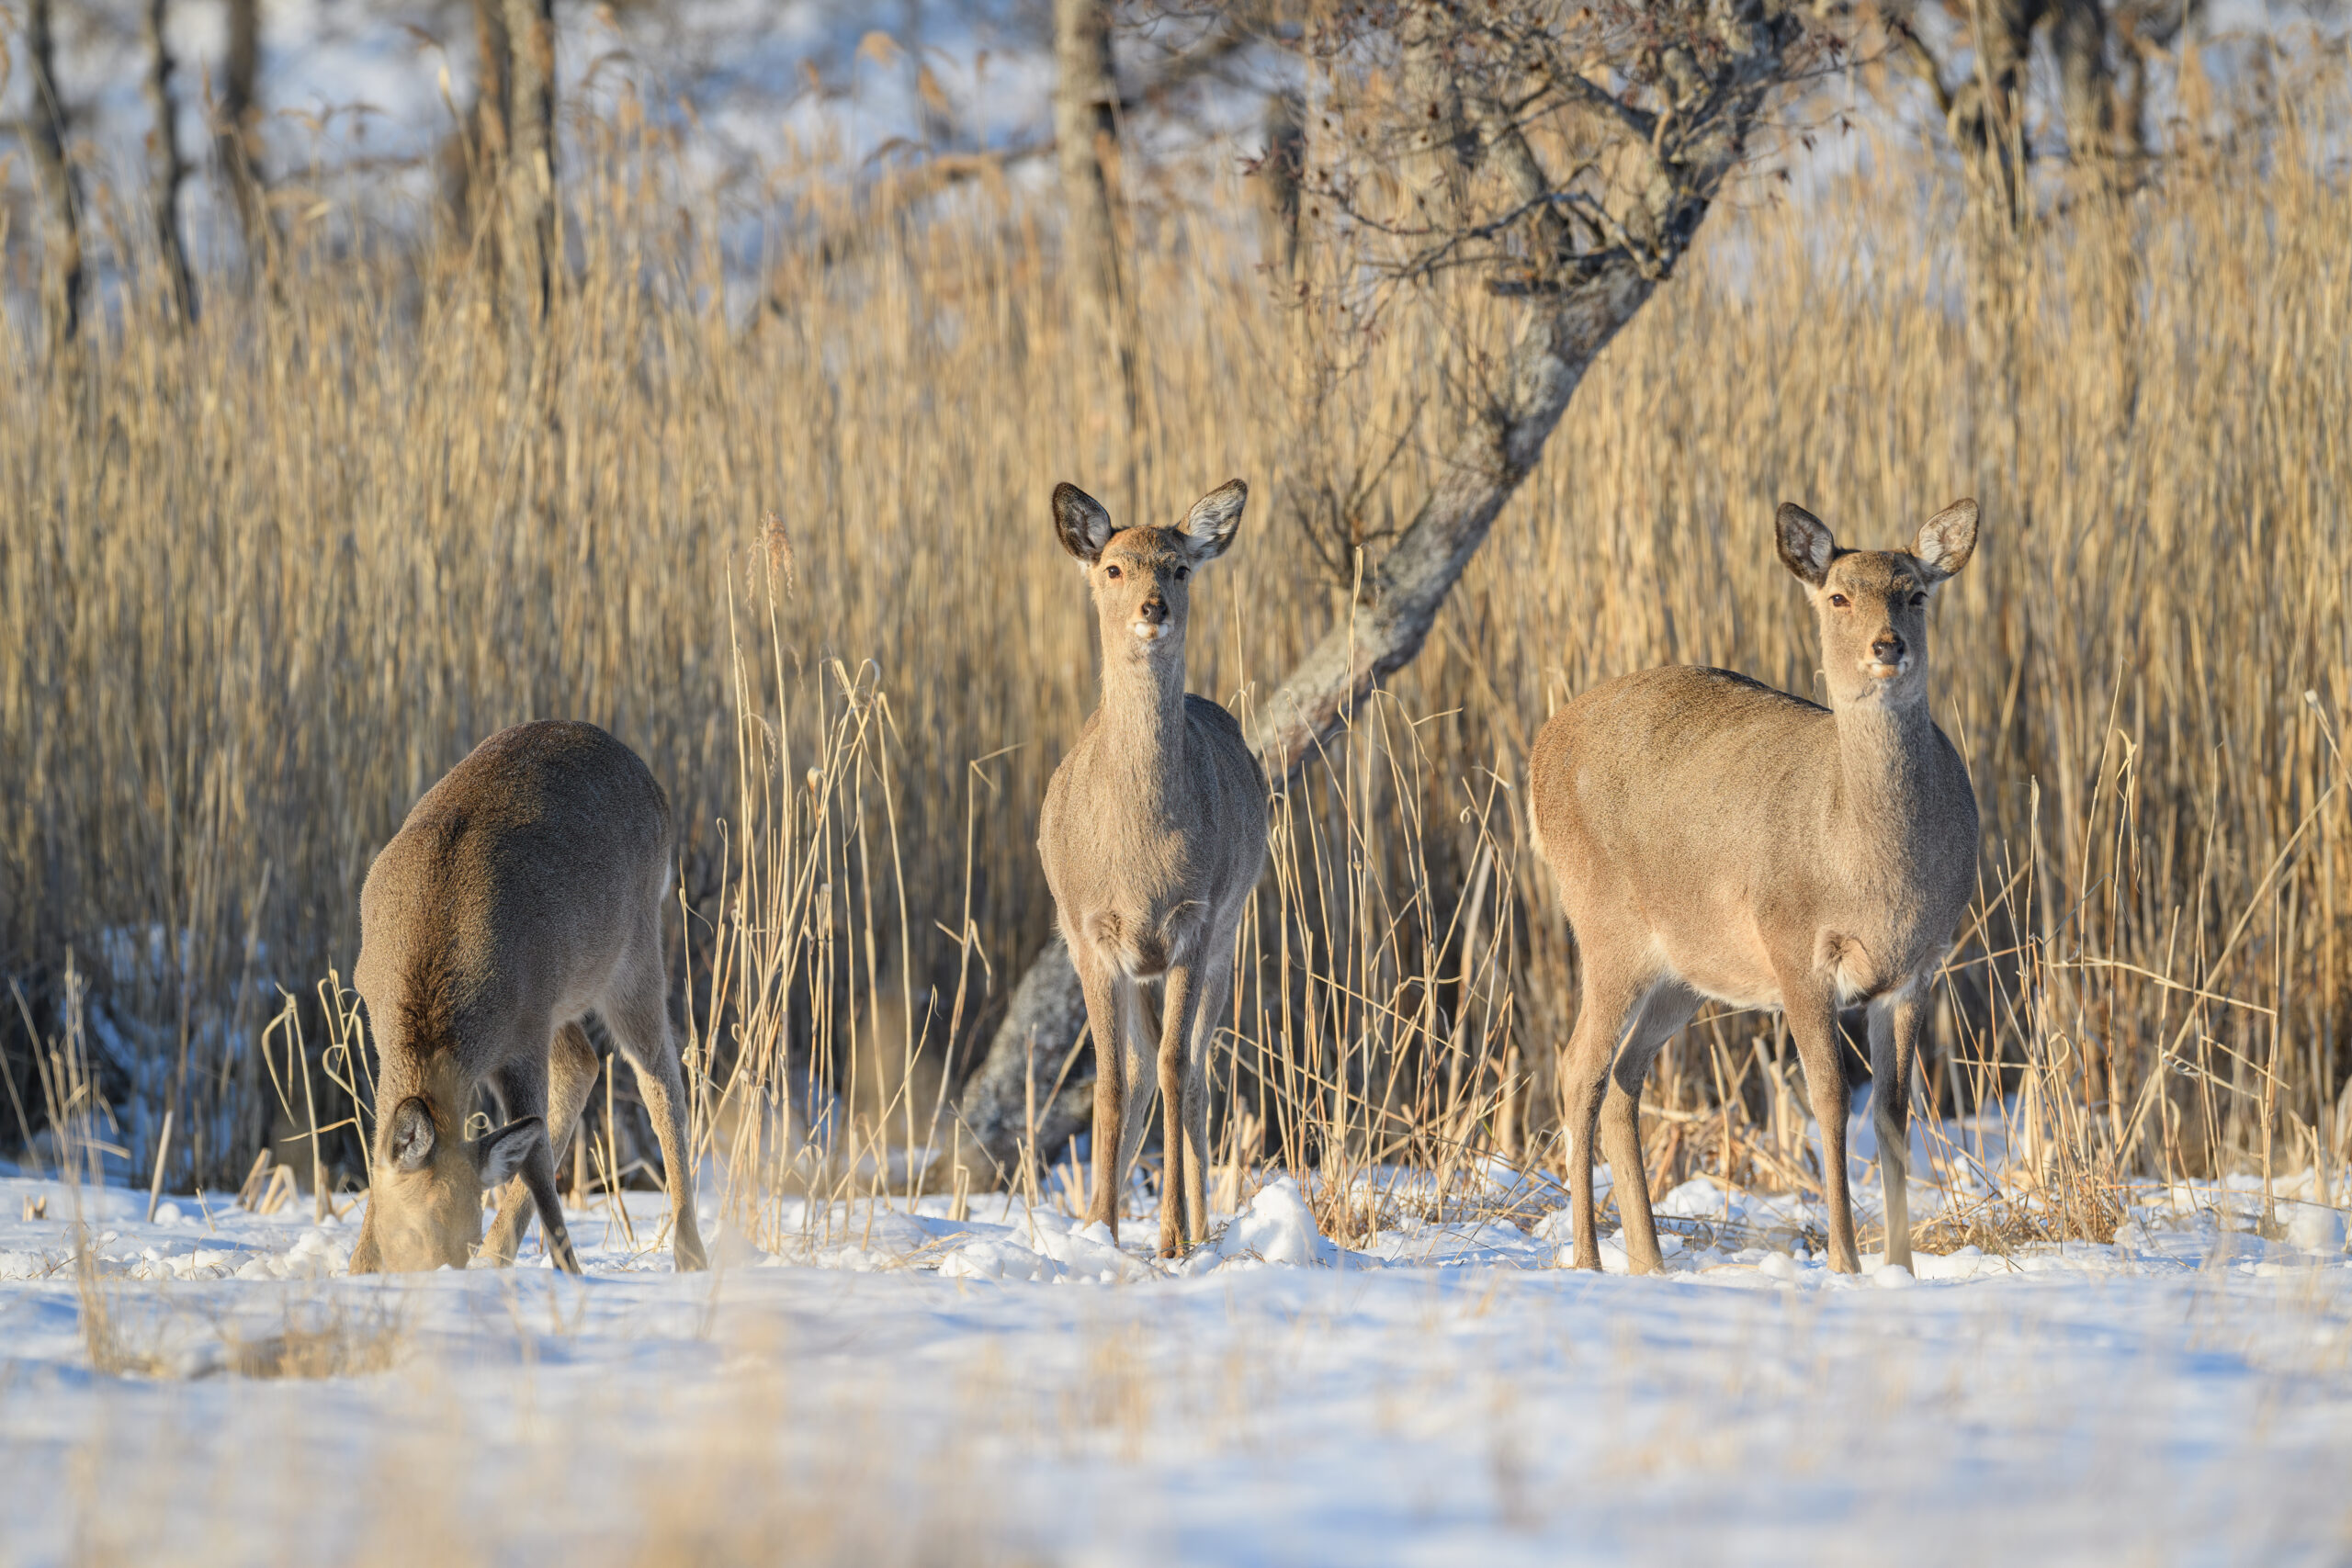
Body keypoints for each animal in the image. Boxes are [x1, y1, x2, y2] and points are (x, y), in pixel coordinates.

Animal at [347, 720, 709, 1275]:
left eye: (466, 1236)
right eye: (410, 1230)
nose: (443, 1275)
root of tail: (654, 785)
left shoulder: (524, 1033)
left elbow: (538, 1168)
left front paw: (570, 1271)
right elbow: (375, 1153)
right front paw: (358, 1269)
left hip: (632, 953)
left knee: (662, 1081)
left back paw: (691, 1255)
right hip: (561, 997)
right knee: (584, 1064)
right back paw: (502, 1256)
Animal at [1038, 479, 1267, 1257]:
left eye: (1179, 567)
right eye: (1114, 567)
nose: (1152, 607)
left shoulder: (1194, 921)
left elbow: (1174, 1067)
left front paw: (1169, 1237)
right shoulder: (1090, 933)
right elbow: (1112, 1081)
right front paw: (1102, 1230)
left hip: (1230, 935)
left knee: (1194, 1073)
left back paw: (1198, 1225)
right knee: (1140, 1072)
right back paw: (1096, 1216)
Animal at [1529, 499, 1982, 1277]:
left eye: (1915, 593)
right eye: (1839, 596)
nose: (1887, 646)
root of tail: (1537, 749)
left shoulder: (1917, 967)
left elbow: (1894, 1112)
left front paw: (1900, 1267)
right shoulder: (1793, 942)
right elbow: (1828, 1099)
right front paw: (1845, 1261)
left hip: (1683, 969)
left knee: (1623, 1078)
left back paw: (1649, 1261)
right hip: (1605, 921)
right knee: (1578, 1067)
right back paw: (1587, 1258)